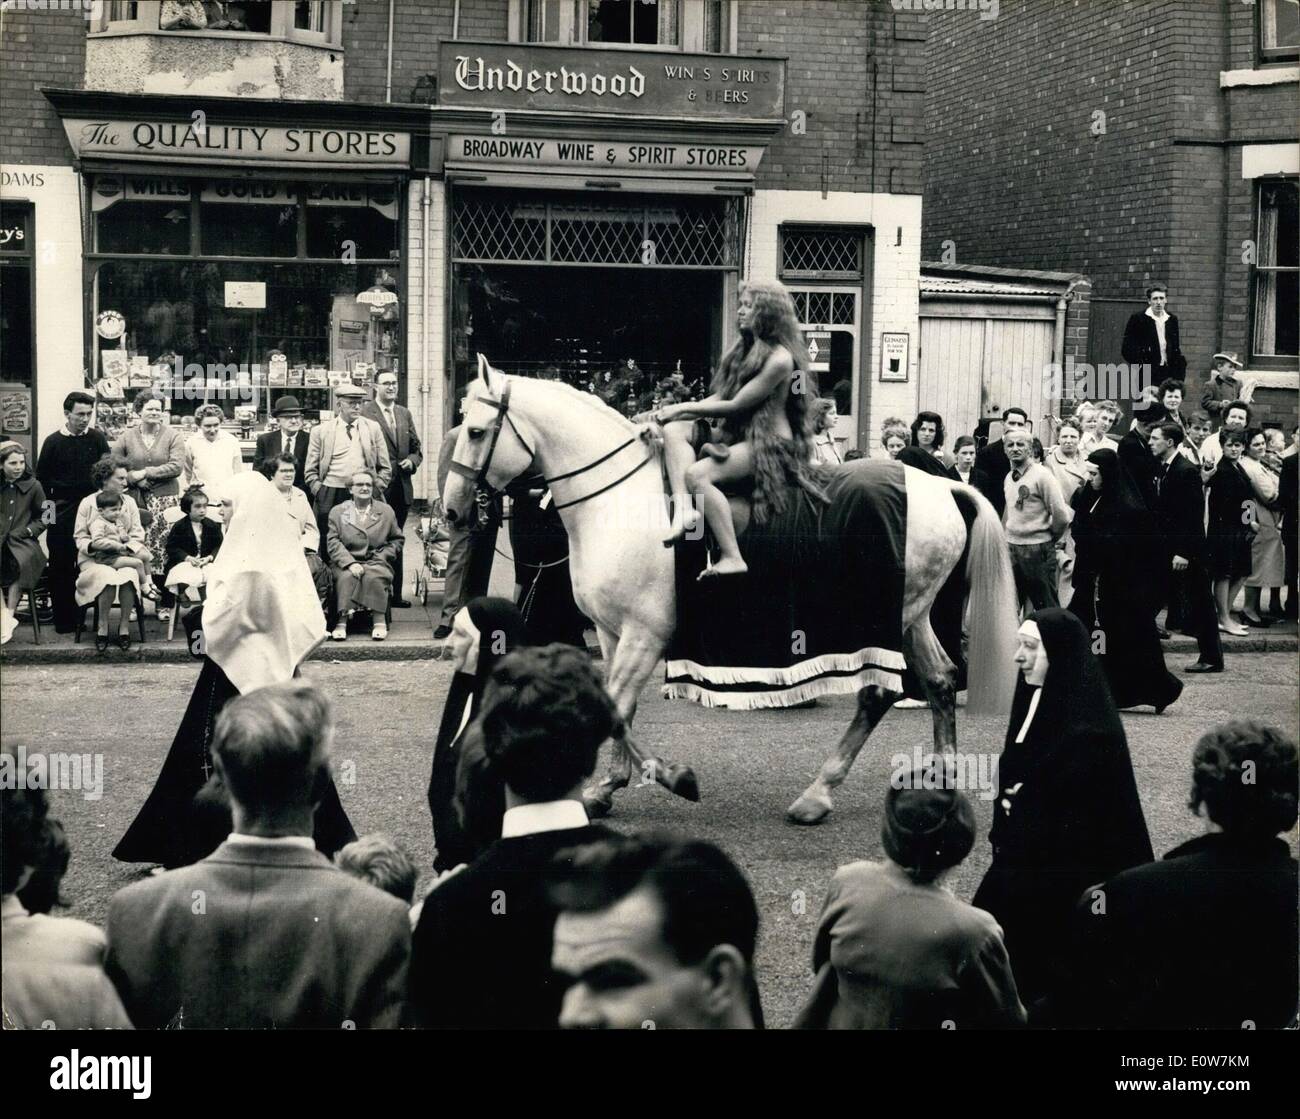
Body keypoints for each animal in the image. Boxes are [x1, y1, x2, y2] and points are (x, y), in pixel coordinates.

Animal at [441, 358, 1019, 821]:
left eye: (476, 431)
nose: (450, 508)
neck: (620, 501)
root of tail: (942, 484)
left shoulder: (645, 633)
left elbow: (615, 708)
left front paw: (670, 778)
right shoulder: (611, 633)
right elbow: (619, 709)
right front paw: (608, 787)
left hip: (885, 620)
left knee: (879, 693)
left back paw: (818, 793)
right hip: (913, 614)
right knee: (940, 680)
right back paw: (939, 779)